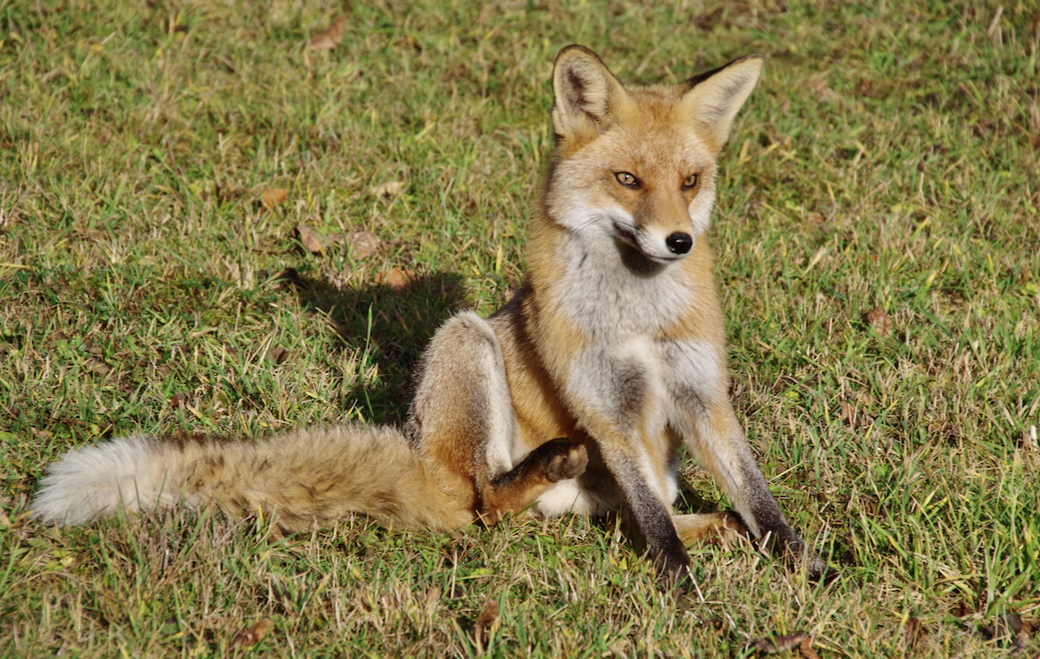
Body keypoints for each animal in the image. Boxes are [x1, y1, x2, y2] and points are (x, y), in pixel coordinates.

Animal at [34, 46, 827, 586]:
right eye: (628, 180)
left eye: (690, 181)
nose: (678, 240)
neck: (637, 316)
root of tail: (421, 462)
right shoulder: (605, 407)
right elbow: (655, 526)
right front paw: (682, 587)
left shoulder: (701, 395)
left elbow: (756, 497)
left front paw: (806, 565)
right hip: (464, 340)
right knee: (483, 503)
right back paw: (545, 473)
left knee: (627, 507)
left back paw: (716, 528)